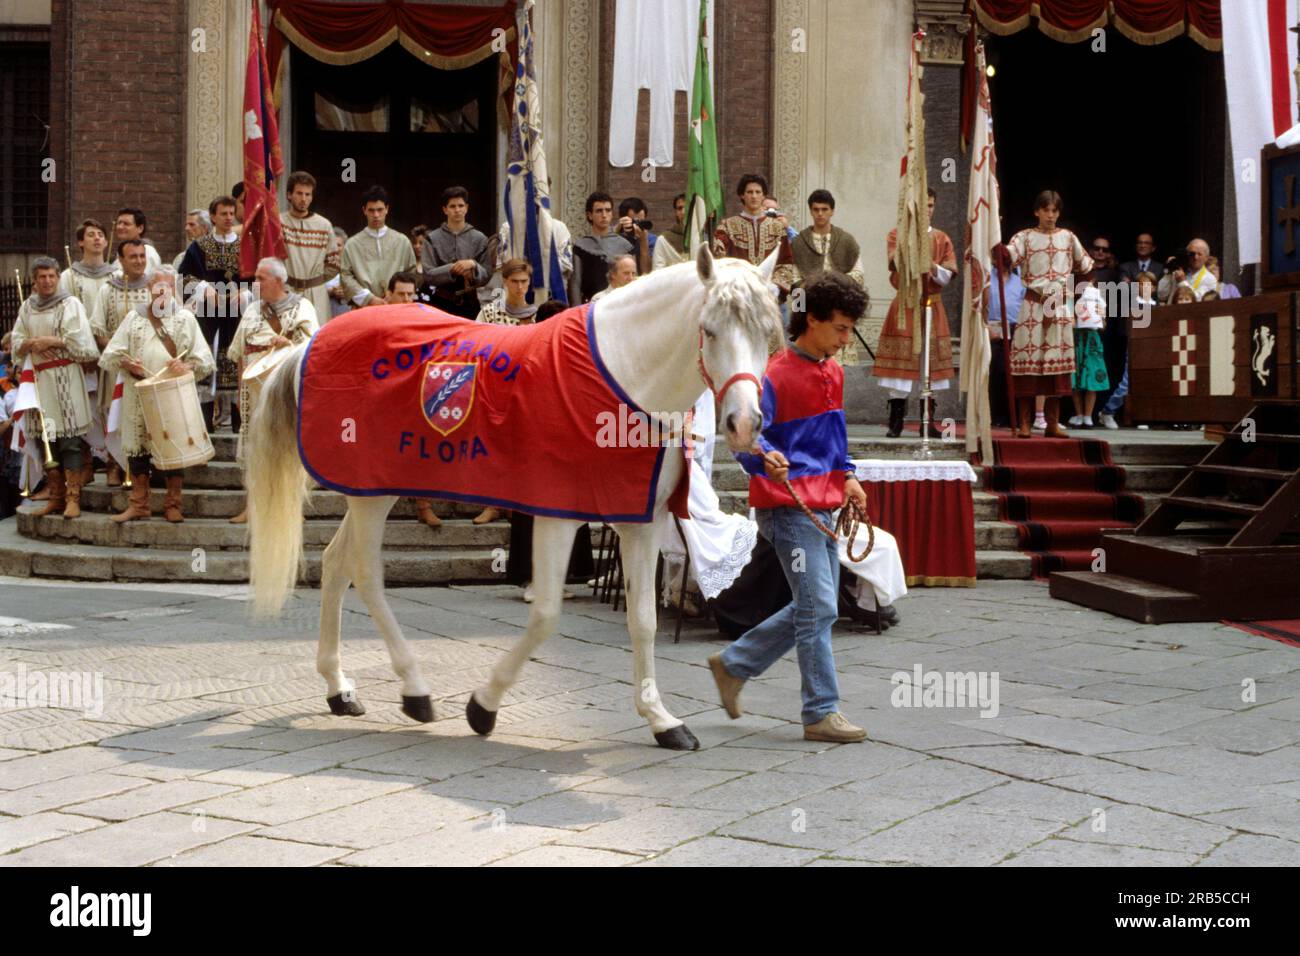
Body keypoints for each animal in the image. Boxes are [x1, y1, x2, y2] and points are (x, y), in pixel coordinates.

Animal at [244, 248, 780, 754]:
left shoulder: (640, 522)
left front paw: (662, 720)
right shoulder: (559, 516)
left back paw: (340, 689)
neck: (624, 376)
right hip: (371, 494)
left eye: (768, 334)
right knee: (365, 574)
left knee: (336, 564)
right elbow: (545, 615)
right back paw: (415, 691)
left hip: (369, 490)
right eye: (708, 330)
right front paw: (483, 706)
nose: (745, 424)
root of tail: (312, 343)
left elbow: (643, 620)